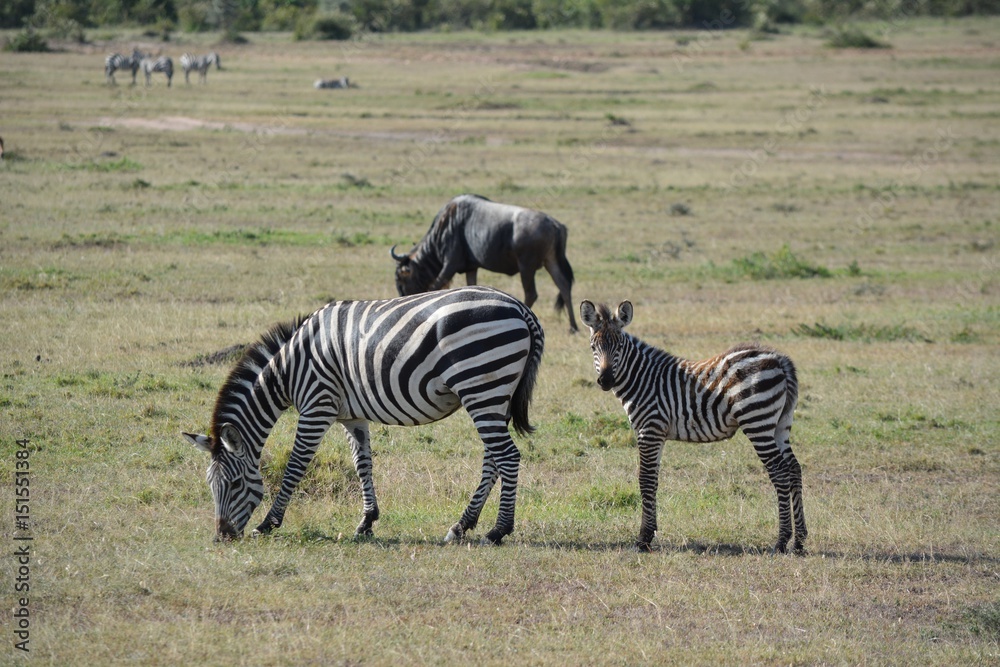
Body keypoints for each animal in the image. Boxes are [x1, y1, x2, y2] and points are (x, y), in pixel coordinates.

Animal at [184, 284, 544, 544]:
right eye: (210, 485)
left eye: (234, 483)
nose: (222, 537)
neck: (289, 369)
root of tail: (520, 308)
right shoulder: (350, 415)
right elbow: (363, 464)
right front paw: (367, 522)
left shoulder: (317, 406)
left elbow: (295, 466)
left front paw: (269, 523)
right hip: (495, 395)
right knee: (492, 459)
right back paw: (461, 525)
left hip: (481, 386)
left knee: (508, 456)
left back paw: (498, 530)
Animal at [580, 300, 804, 556]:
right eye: (593, 346)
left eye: (619, 346)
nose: (606, 380)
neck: (643, 379)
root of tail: (779, 359)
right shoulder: (656, 434)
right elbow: (653, 480)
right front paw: (650, 533)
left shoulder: (649, 429)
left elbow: (645, 480)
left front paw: (643, 540)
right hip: (780, 423)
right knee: (794, 468)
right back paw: (799, 541)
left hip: (758, 421)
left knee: (780, 471)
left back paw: (781, 541)